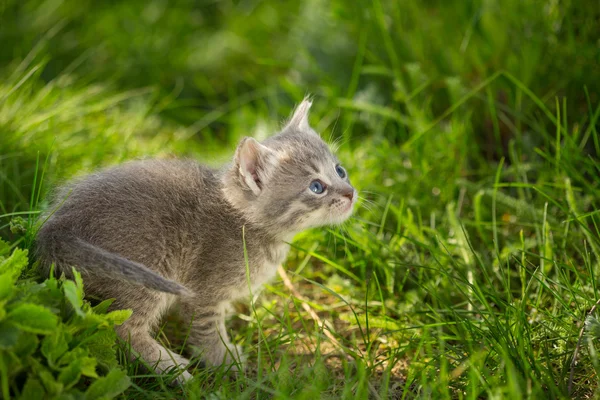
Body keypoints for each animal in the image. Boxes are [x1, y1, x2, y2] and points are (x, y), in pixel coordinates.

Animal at [35, 99, 356, 382]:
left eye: (340, 170)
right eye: (316, 187)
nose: (351, 192)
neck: (247, 223)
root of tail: (58, 226)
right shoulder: (203, 293)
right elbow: (207, 331)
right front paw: (225, 361)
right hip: (150, 270)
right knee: (121, 330)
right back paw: (172, 369)